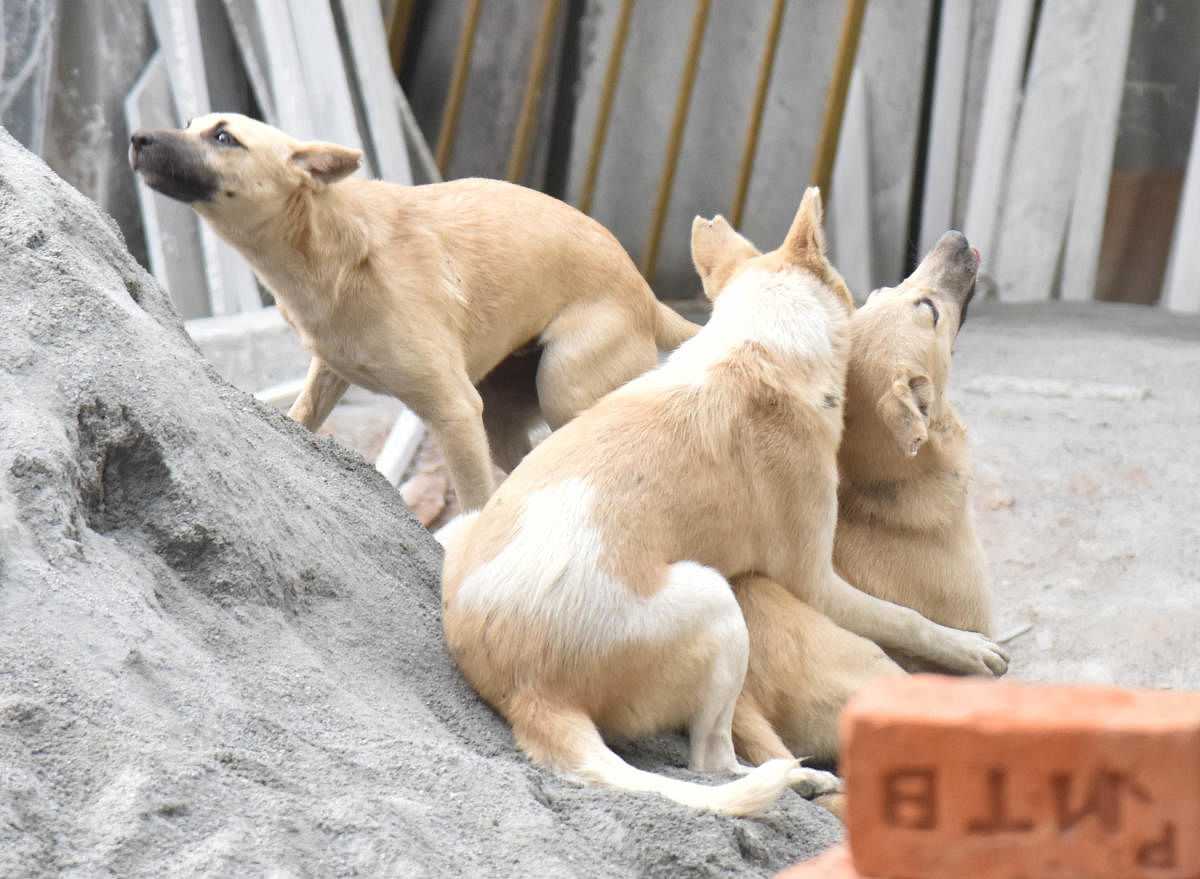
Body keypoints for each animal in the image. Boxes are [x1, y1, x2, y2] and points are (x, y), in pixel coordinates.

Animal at [127, 113, 700, 511]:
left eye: (225, 138)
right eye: (188, 124)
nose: (136, 138)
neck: (330, 245)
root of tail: (646, 294)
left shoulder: (455, 412)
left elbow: (473, 505)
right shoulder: (331, 371)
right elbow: (301, 415)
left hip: (565, 391)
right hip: (503, 417)